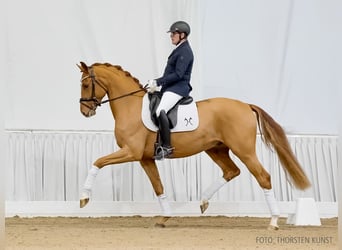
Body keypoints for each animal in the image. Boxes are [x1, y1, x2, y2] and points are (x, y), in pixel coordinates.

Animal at [77, 61, 310, 229]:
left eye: (86, 85)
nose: (85, 112)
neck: (131, 106)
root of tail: (245, 105)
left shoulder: (130, 152)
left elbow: (97, 162)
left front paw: (84, 198)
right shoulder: (145, 158)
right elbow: (158, 186)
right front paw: (164, 218)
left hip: (244, 150)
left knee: (263, 177)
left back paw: (274, 221)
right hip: (215, 149)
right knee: (231, 171)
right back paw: (203, 201)